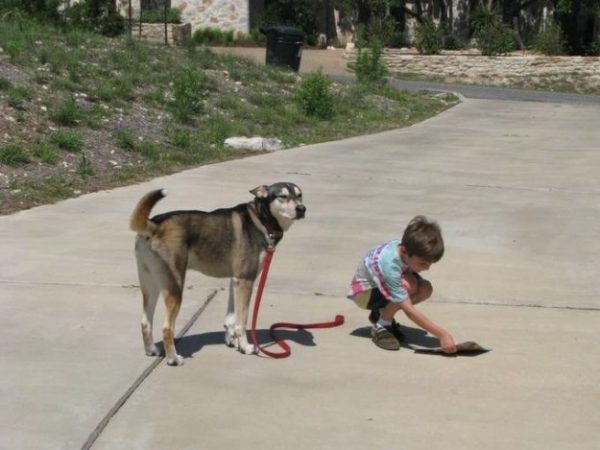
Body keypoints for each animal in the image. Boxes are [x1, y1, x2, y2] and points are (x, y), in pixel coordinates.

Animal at [130, 183, 304, 366]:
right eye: (283, 196)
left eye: (300, 195)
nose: (302, 209)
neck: (261, 218)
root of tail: (154, 225)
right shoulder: (246, 280)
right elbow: (242, 321)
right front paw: (245, 346)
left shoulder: (235, 280)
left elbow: (231, 318)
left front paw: (232, 340)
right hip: (175, 288)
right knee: (166, 328)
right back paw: (173, 358)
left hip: (151, 286)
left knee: (145, 322)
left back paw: (151, 350)